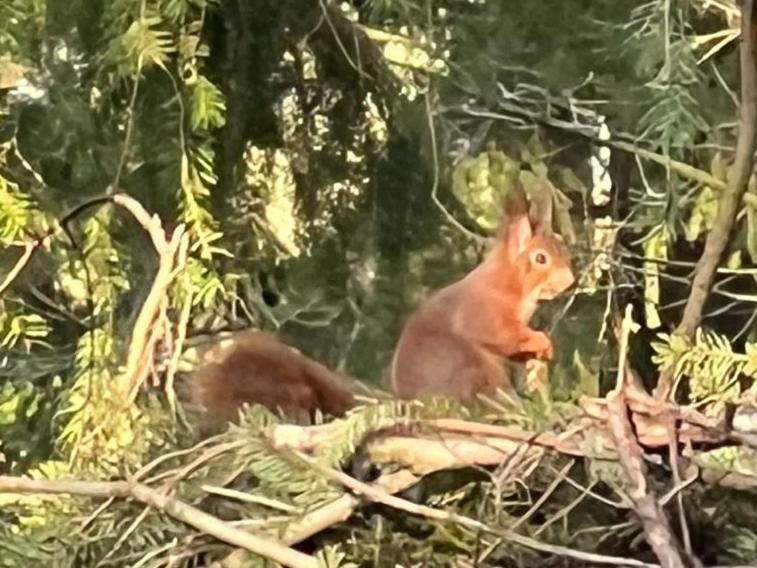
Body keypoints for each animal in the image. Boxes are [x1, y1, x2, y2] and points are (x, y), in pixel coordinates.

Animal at [190, 186, 572, 422]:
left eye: (562, 247)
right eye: (540, 258)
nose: (570, 280)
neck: (514, 286)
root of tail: (411, 405)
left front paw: (541, 351)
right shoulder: (483, 311)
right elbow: (500, 333)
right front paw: (541, 340)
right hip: (470, 369)